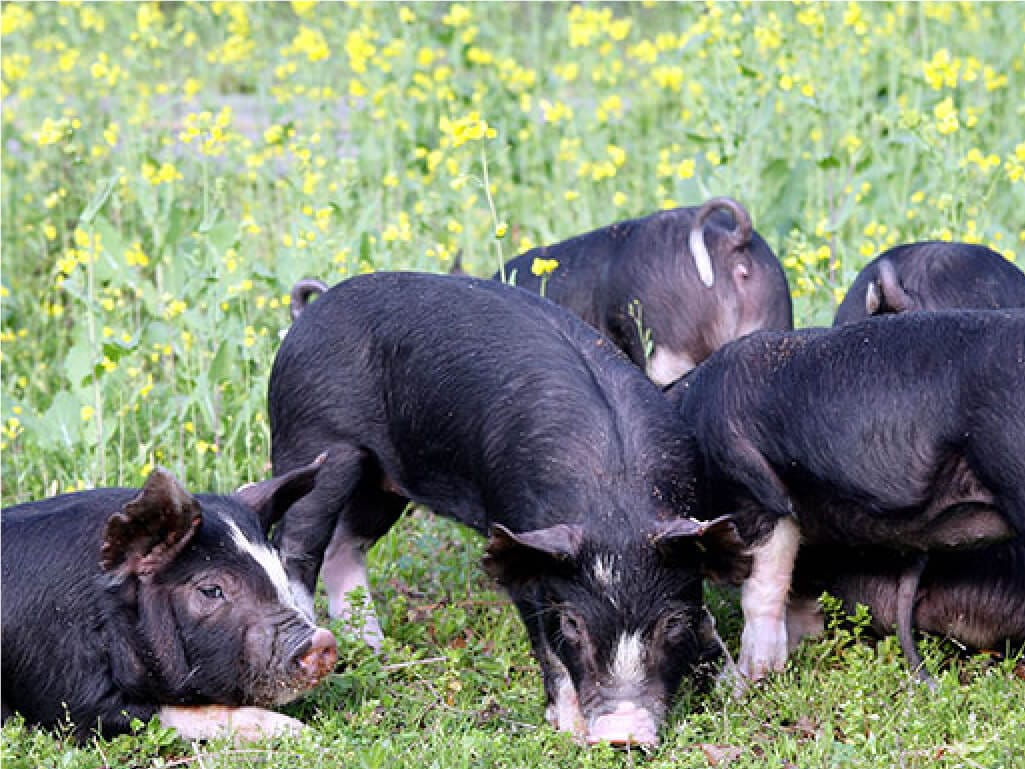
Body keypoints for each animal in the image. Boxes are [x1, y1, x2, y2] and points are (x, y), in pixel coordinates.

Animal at [268, 270, 746, 746]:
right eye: (572, 624)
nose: (621, 734)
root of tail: (312, 308)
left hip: (381, 481)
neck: (615, 502)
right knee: (296, 546)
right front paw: (569, 730)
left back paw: (374, 648)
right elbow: (545, 644)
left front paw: (731, 682)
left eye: (673, 624)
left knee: (345, 546)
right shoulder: (523, 545)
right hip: (314, 442)